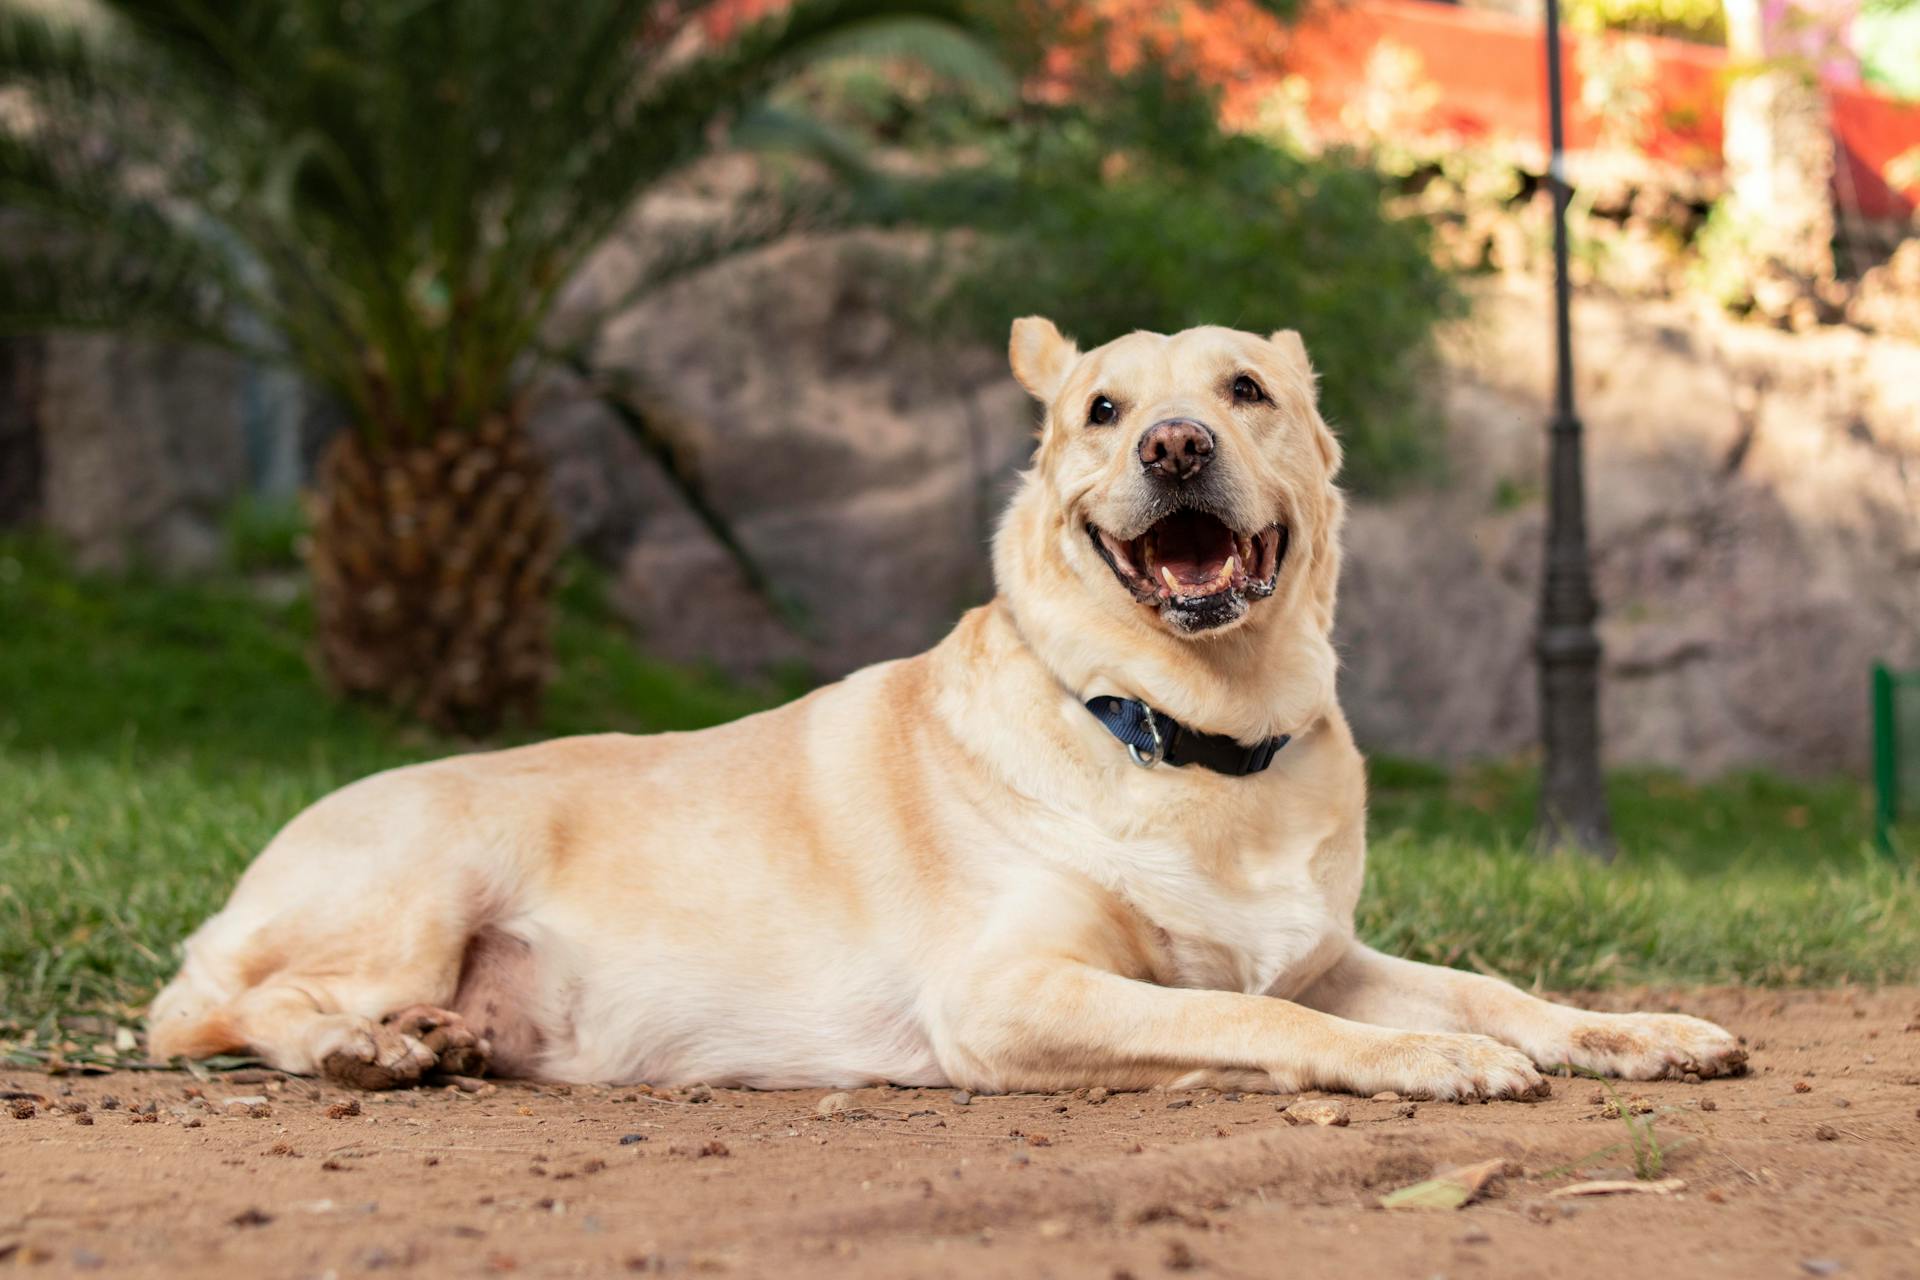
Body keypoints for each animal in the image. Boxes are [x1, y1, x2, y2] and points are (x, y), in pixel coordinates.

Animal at [145, 320, 1743, 1105]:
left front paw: (1627, 1029)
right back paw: (367, 1049)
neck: (1189, 735)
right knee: (210, 1012)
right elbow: (1259, 1022)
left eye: (1245, 388)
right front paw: (1424, 1062)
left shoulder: (1322, 955)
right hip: (425, 874)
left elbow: (1487, 987)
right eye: (1102, 411)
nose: (1177, 445)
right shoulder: (1009, 992)